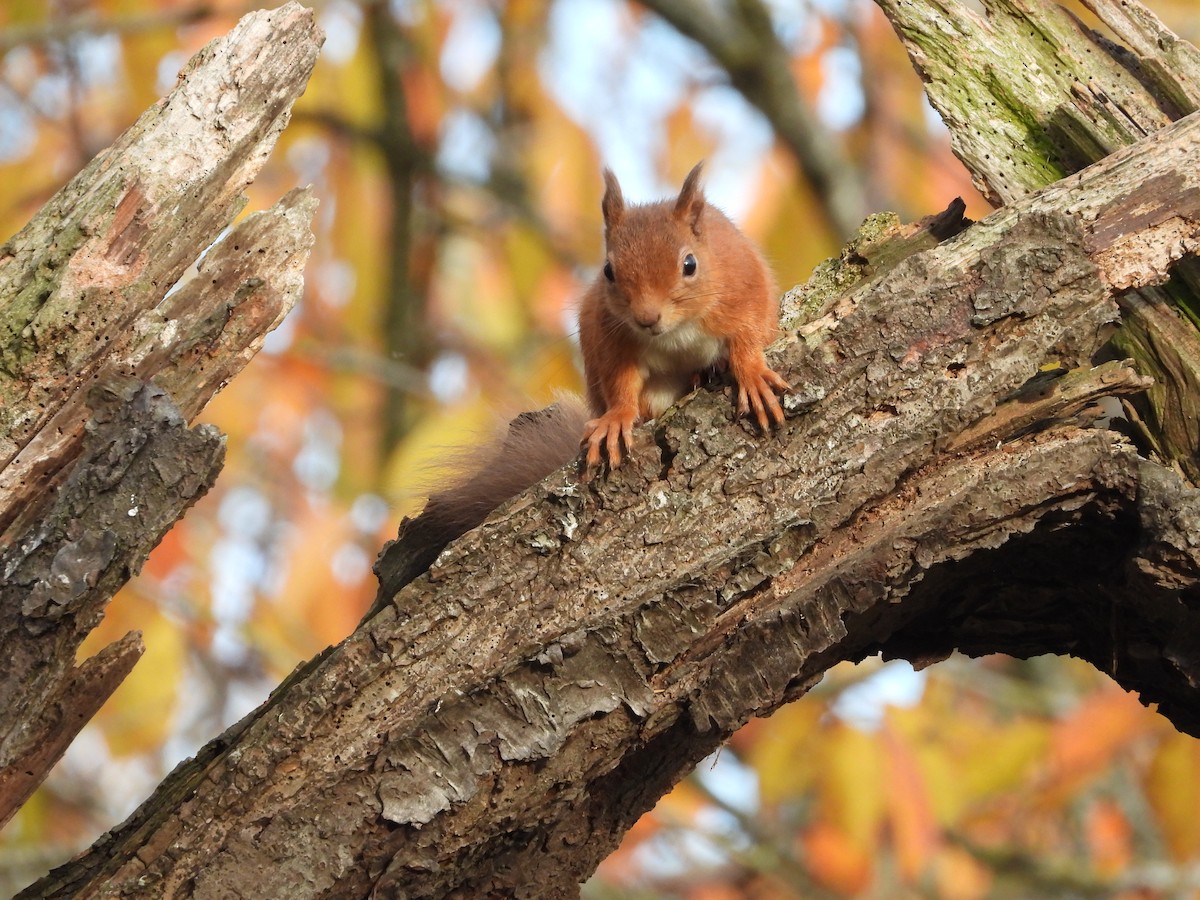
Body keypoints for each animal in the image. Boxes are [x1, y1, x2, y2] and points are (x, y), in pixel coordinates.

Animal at [374, 163, 788, 599]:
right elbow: (621, 386)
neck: (676, 333)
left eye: (689, 264)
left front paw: (750, 374)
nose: (647, 318)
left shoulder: (744, 291)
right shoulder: (613, 341)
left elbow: (747, 339)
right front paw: (616, 420)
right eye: (608, 270)